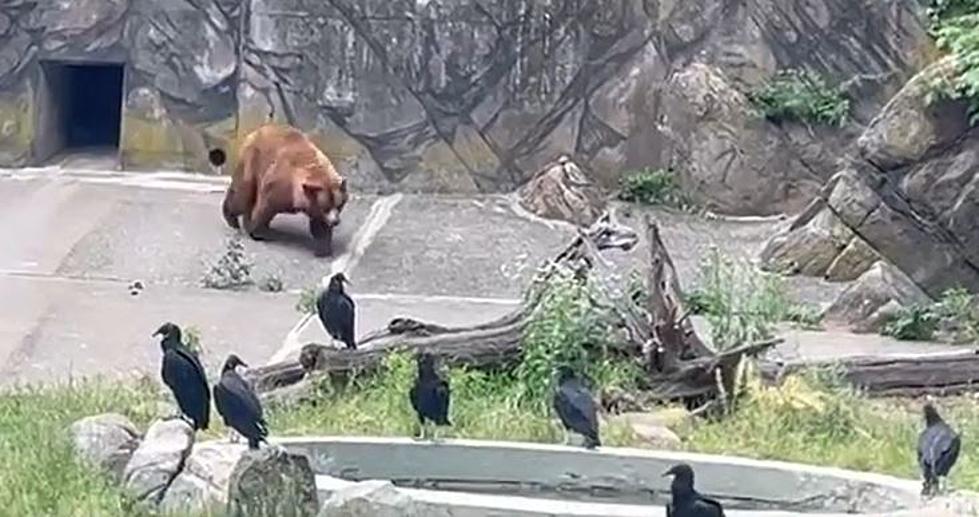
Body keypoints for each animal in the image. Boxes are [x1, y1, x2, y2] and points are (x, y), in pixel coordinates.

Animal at [220, 123, 350, 256]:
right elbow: (264, 208)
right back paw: (232, 219)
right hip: (252, 161)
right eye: (325, 207)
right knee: (242, 194)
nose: (336, 221)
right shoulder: (279, 185)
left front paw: (323, 247)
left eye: (339, 205)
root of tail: (257, 130)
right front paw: (258, 231)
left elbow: (320, 224)